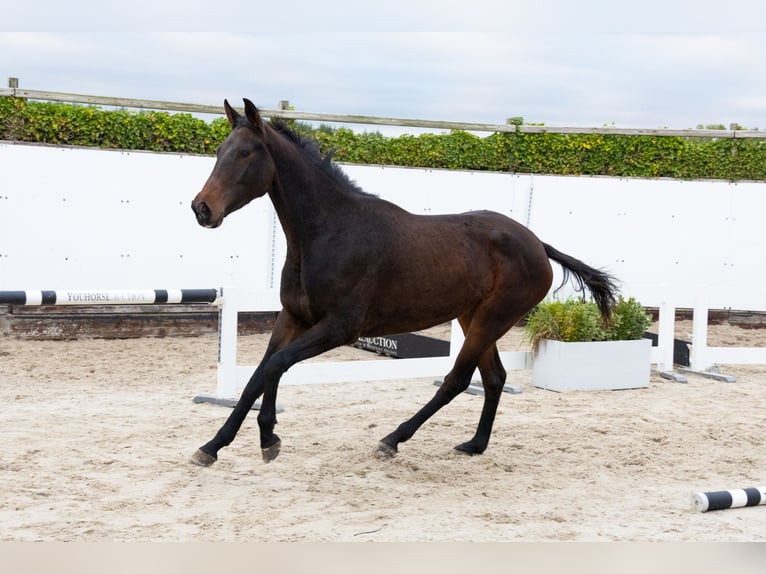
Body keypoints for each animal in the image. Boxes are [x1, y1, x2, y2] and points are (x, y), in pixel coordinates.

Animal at [190, 98, 618, 467]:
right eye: (220, 151)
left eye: (246, 153)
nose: (201, 209)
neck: (328, 232)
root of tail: (538, 244)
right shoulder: (292, 317)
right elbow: (257, 377)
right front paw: (213, 445)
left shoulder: (340, 328)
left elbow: (276, 367)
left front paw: (268, 438)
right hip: (474, 318)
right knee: (494, 377)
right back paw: (475, 444)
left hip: (492, 319)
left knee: (457, 380)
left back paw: (393, 439)